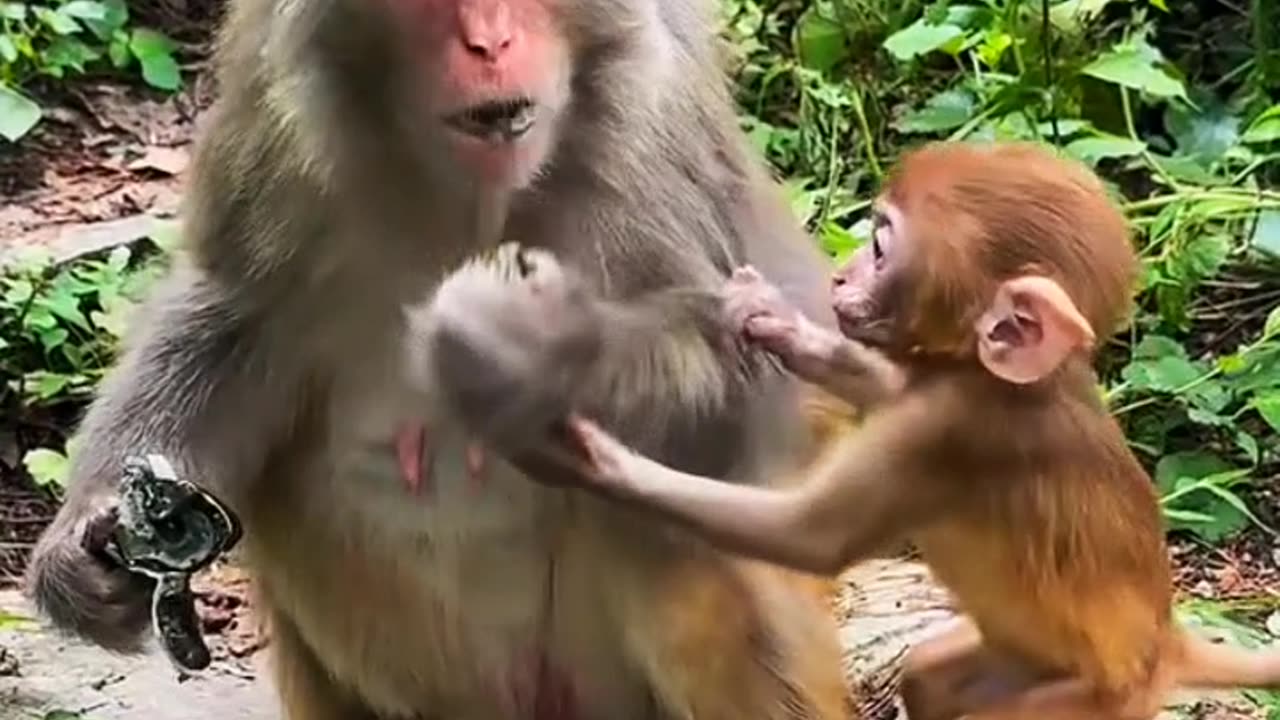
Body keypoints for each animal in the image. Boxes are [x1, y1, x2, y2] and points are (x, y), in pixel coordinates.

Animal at [21, 0, 860, 716]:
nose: (489, 42)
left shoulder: (661, 117)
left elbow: (756, 375)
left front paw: (534, 354)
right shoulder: (275, 111)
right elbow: (230, 316)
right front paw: (88, 545)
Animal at [508, 141, 1280, 720]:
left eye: (879, 248)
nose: (840, 277)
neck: (996, 378)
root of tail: (1166, 647)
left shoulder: (947, 433)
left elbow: (808, 539)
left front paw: (583, 458)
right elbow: (884, 388)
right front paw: (775, 321)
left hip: (1087, 704)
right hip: (1019, 665)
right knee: (932, 680)